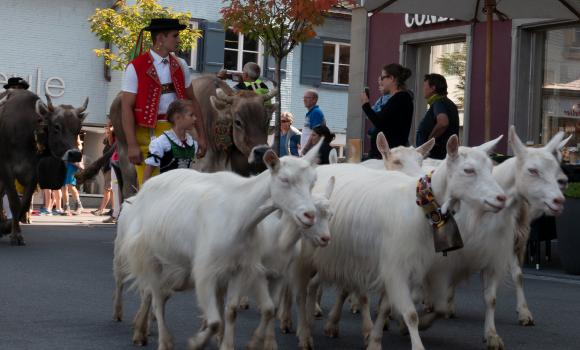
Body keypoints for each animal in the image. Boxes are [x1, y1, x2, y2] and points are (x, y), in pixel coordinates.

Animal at [113, 143, 322, 350]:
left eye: (312, 183)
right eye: (285, 179)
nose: (310, 215)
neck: (239, 212)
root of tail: (140, 193)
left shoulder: (239, 268)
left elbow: (233, 310)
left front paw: (233, 344)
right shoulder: (206, 271)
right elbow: (214, 322)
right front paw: (197, 342)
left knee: (159, 296)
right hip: (149, 258)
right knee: (154, 298)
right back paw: (161, 340)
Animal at [296, 135, 506, 348]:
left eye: (491, 168)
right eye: (468, 170)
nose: (501, 198)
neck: (419, 207)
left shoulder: (408, 269)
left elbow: (390, 308)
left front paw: (376, 340)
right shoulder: (394, 267)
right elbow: (410, 314)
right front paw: (413, 341)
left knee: (315, 285)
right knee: (305, 287)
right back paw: (304, 329)